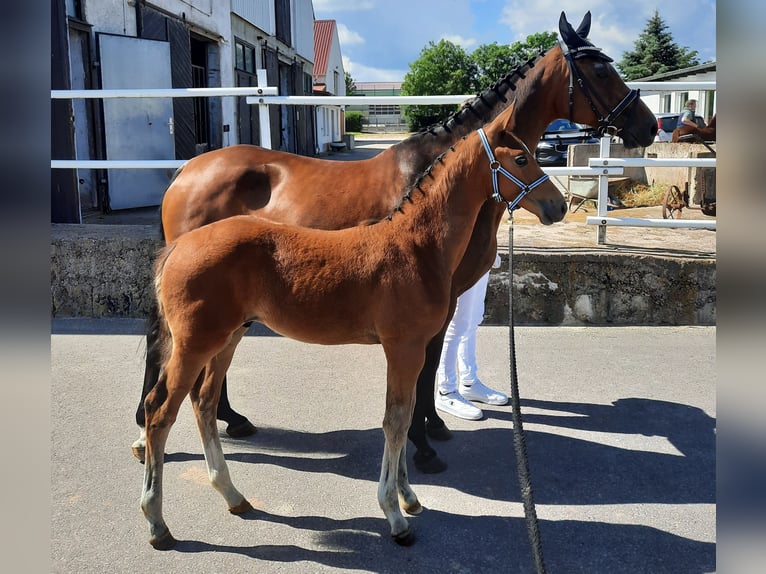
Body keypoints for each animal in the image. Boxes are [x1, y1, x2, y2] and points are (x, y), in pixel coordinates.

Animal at [132, 11, 659, 473]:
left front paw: (433, 427)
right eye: (599, 67)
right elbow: (425, 367)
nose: (648, 126)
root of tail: (186, 172)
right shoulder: (438, 297)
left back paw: (228, 419)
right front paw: (424, 442)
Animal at [140, 98, 561, 549]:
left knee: (203, 403)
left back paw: (233, 495)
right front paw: (395, 515)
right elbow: (395, 421)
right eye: (522, 158)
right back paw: (157, 522)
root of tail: (179, 245)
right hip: (195, 343)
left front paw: (408, 496)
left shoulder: (409, 350)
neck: (417, 246)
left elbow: (405, 416)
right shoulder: (404, 347)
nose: (559, 205)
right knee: (160, 411)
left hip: (229, 337)